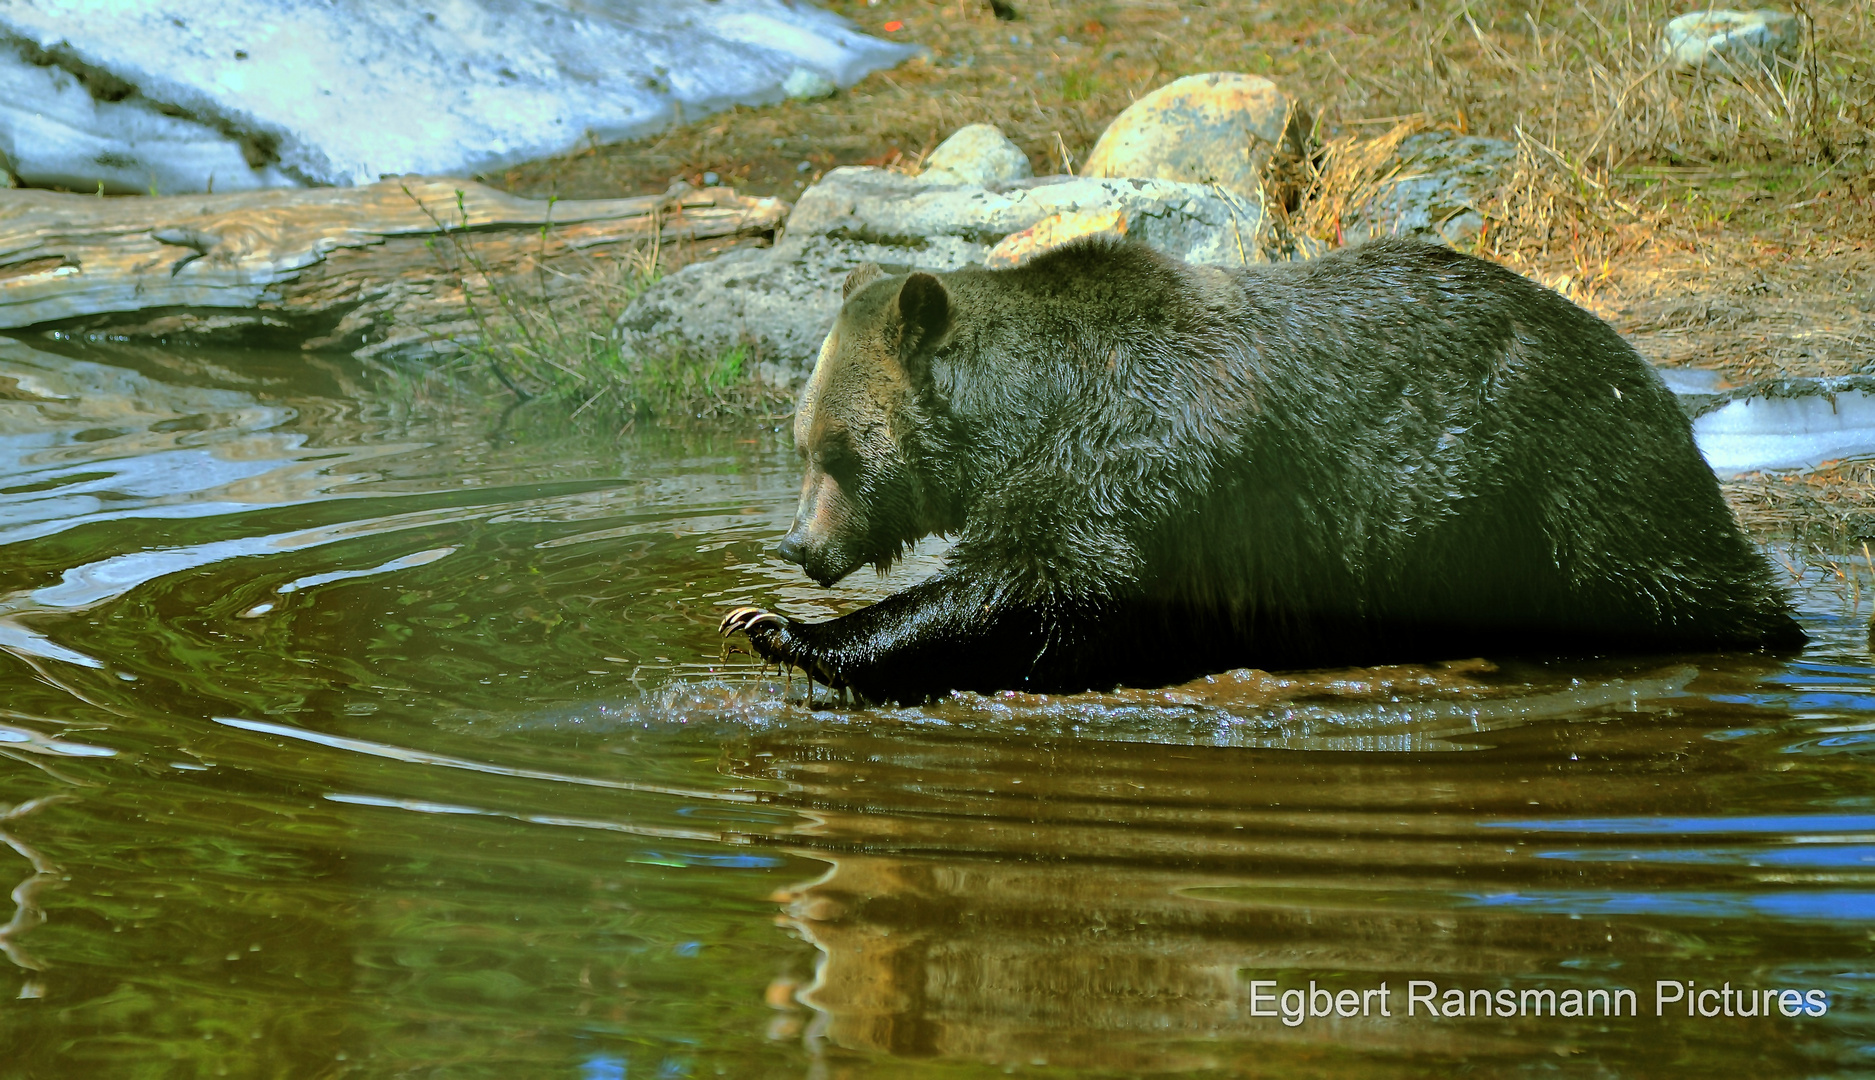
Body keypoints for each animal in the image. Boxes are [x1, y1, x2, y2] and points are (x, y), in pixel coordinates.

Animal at [716, 237, 1800, 705]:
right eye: (804, 443)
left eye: (836, 451)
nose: (799, 545)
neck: (1028, 408)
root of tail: (1640, 361)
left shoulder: (1133, 455)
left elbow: (1036, 584)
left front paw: (789, 632)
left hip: (1561, 466)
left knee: (1674, 567)